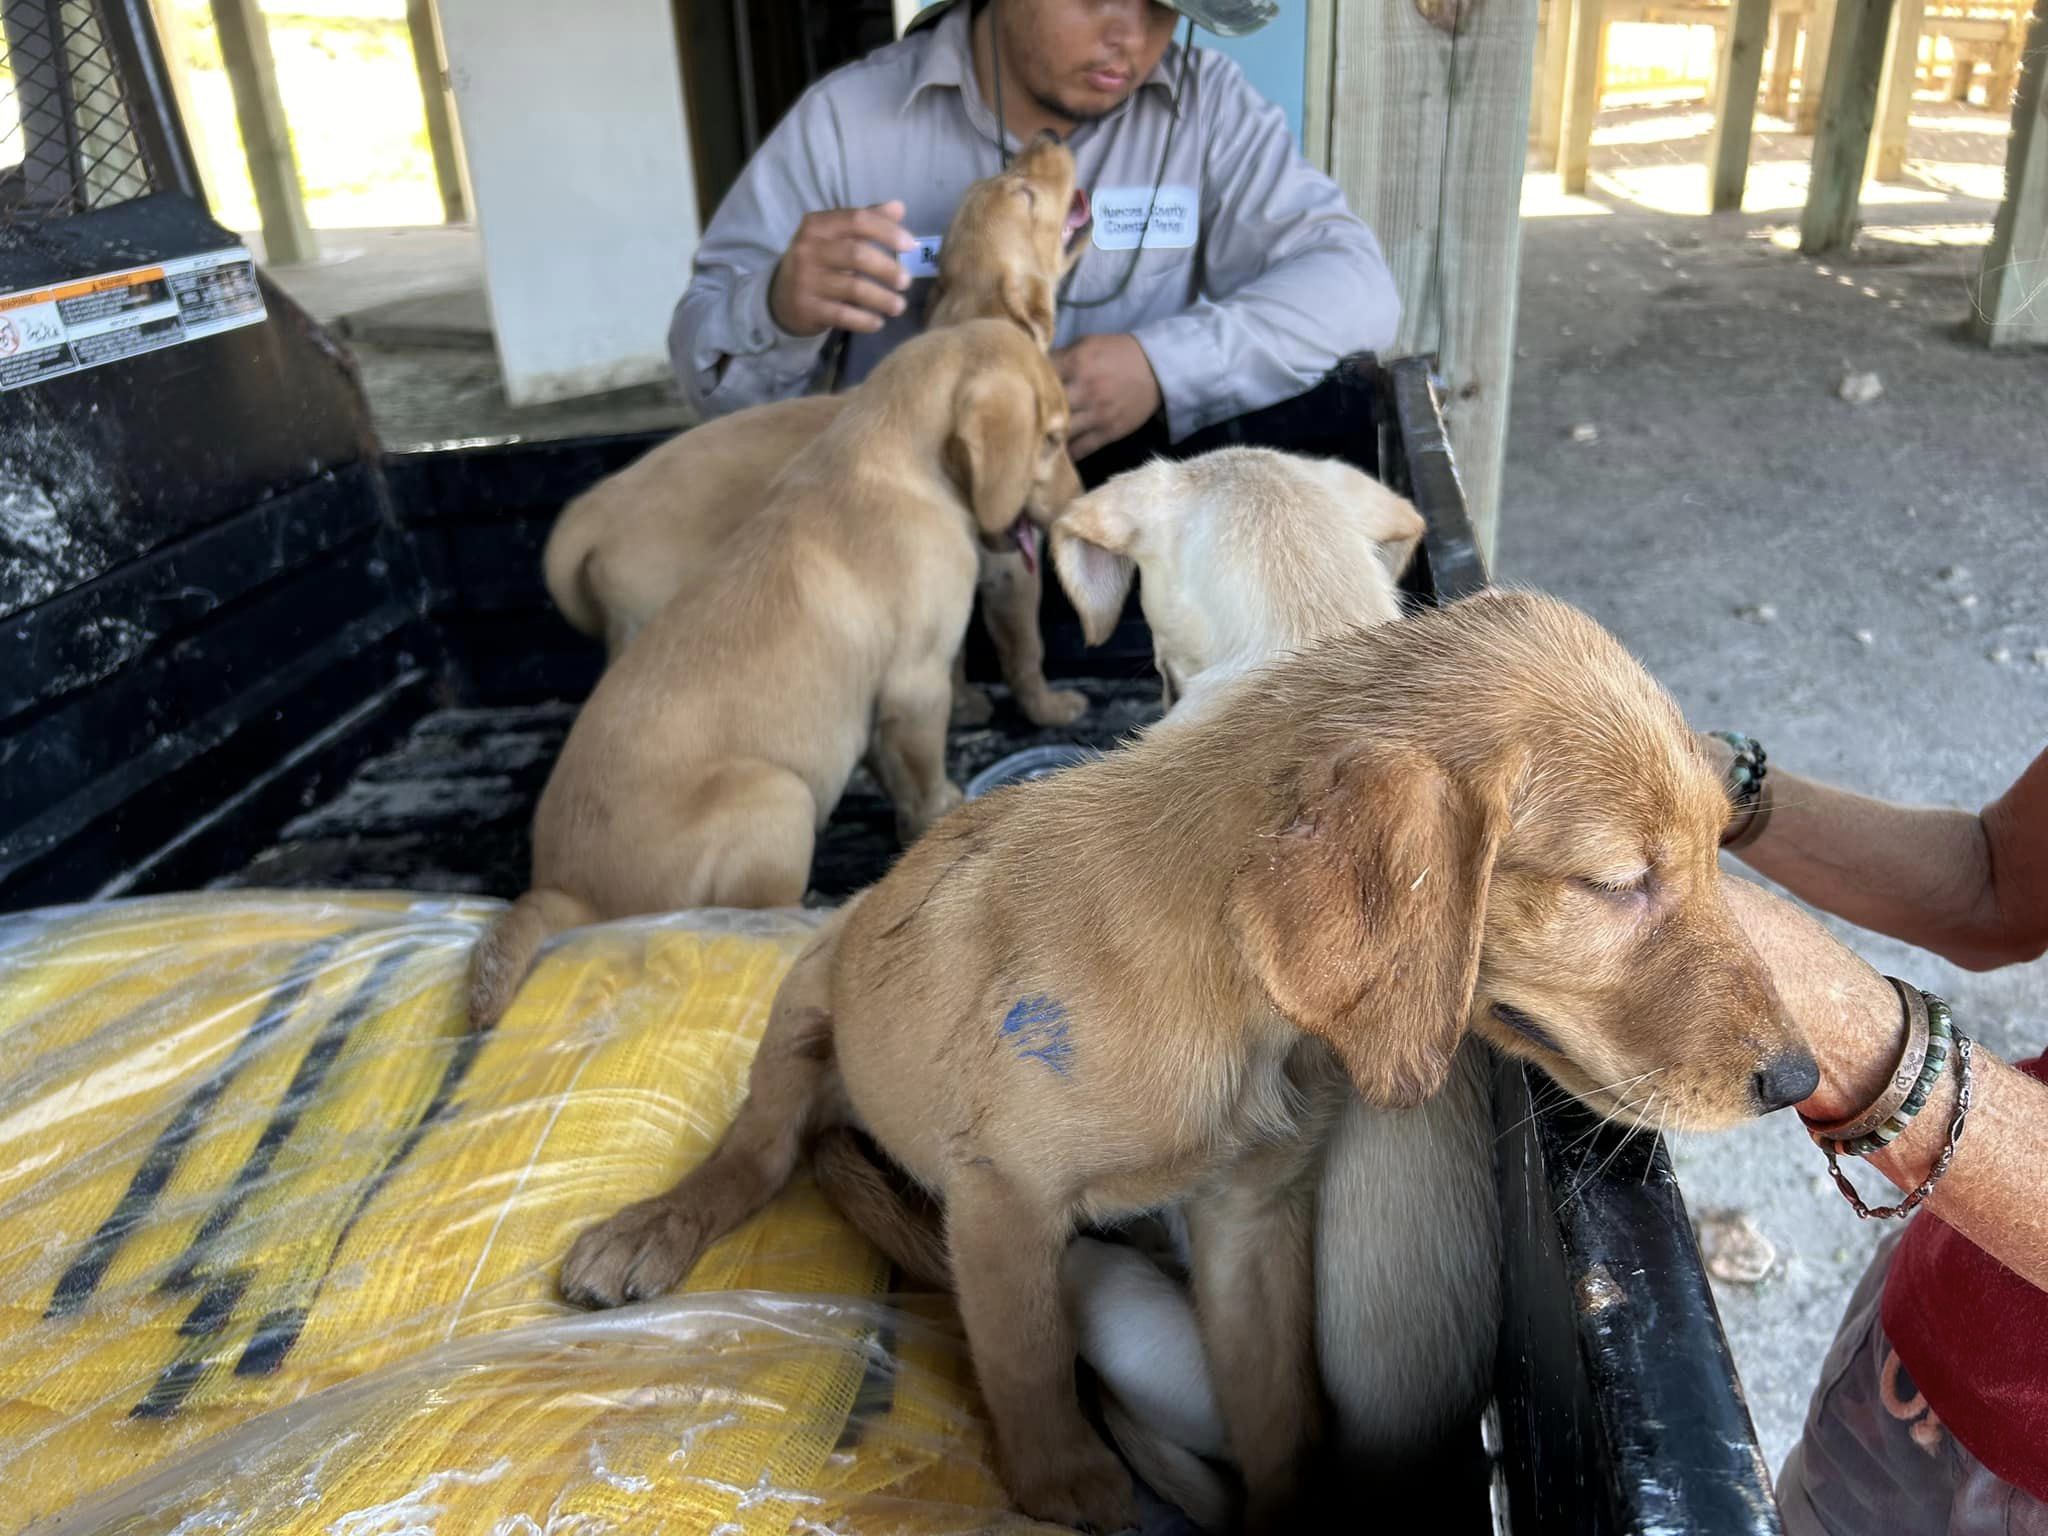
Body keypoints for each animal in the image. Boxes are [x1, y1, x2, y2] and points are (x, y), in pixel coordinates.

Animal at [468, 319, 1089, 1028]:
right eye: (1052, 439)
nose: (1079, 506)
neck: (890, 447)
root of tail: (563, 890)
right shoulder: (918, 682)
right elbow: (926, 772)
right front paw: (943, 813)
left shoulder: (872, 707)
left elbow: (893, 772)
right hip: (777, 793)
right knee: (752, 911)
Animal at [540, 134, 1089, 733]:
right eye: (1025, 193)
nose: (1046, 136)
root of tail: (596, 504)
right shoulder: (1011, 565)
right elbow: (1026, 648)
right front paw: (1049, 707)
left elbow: (955, 654)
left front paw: (964, 703)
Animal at [557, 593, 1810, 1536]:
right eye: (1615, 883)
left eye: (1718, 847)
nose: (1794, 1081)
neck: (1230, 1008)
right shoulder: (999, 1196)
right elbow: (1025, 1357)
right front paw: (1065, 1481)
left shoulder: (1249, 1222)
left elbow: (1278, 1413)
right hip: (804, 1005)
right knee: (757, 1148)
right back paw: (652, 1227)